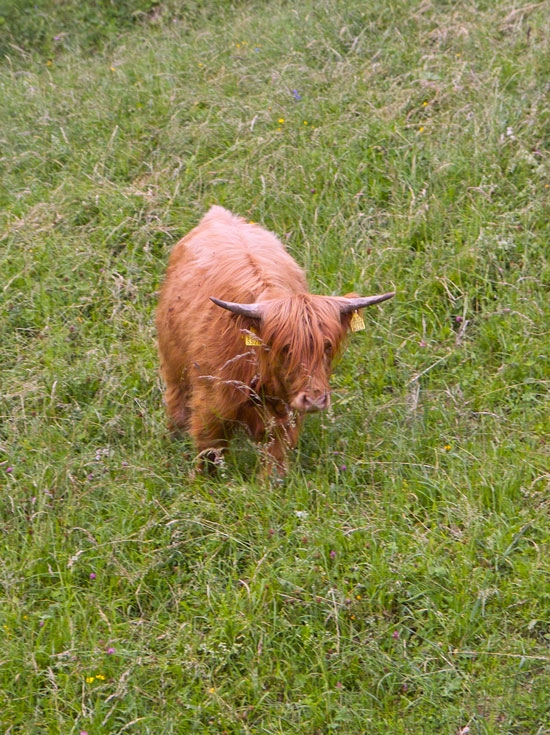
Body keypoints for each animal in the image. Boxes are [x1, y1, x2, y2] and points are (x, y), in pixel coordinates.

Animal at [156, 204, 396, 474]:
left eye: (327, 346)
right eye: (285, 347)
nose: (314, 399)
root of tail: (219, 215)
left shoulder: (285, 417)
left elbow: (275, 462)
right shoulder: (210, 406)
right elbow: (209, 454)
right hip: (173, 361)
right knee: (176, 399)